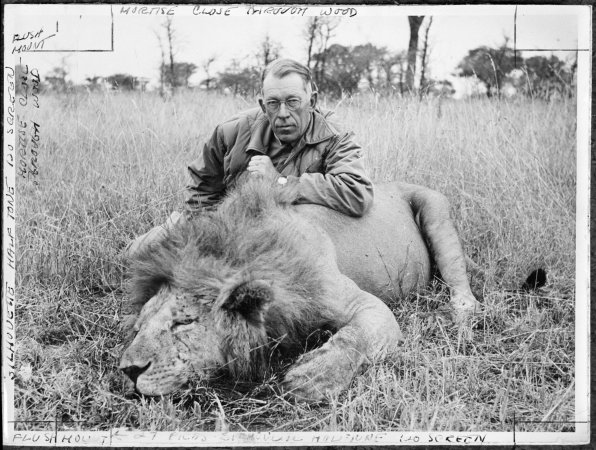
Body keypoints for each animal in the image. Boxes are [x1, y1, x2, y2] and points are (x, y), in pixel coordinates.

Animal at [121, 179, 480, 400]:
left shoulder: (366, 306)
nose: (129, 370)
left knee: (464, 292)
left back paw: (454, 320)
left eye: (184, 322)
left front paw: (312, 377)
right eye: (138, 328)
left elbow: (355, 337)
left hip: (435, 211)